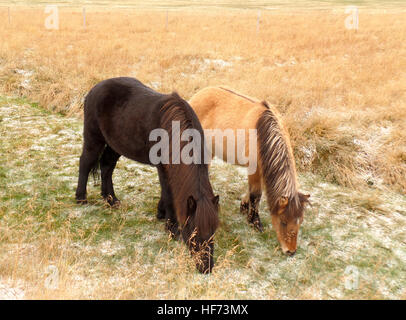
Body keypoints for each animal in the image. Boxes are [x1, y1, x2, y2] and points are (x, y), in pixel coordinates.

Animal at [74, 77, 217, 272]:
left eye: (213, 231)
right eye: (194, 231)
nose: (206, 268)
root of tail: (95, 88)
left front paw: (161, 213)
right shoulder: (162, 167)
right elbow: (169, 193)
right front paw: (172, 227)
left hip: (115, 144)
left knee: (106, 167)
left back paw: (111, 199)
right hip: (93, 138)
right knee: (85, 163)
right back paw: (81, 198)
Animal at [189, 85, 310, 255]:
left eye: (300, 221)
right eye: (283, 222)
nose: (291, 251)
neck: (264, 133)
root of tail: (197, 95)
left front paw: (244, 206)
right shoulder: (255, 170)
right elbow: (256, 195)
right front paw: (254, 221)